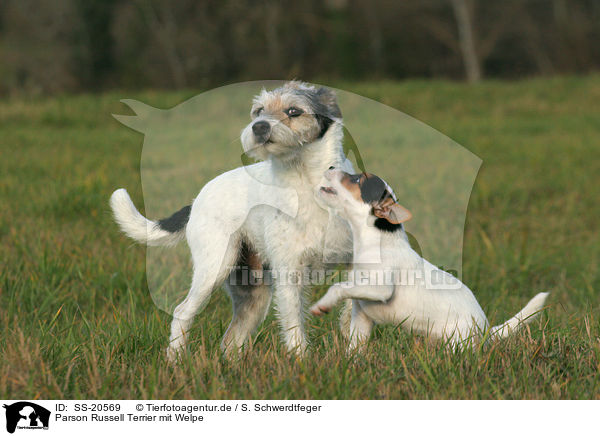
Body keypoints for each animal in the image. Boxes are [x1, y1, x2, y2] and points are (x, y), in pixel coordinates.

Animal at [110, 82, 354, 362]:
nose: (259, 127)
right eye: (258, 110)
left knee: (230, 340)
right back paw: (176, 360)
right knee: (183, 312)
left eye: (294, 110)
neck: (308, 183)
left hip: (253, 294)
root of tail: (196, 200)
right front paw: (301, 363)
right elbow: (294, 327)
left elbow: (352, 309)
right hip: (213, 270)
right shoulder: (289, 273)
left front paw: (355, 351)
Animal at [310, 169, 548, 350]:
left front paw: (322, 305)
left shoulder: (381, 289)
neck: (375, 241)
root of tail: (486, 331)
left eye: (357, 179)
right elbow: (355, 346)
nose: (331, 167)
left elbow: (338, 287)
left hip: (458, 342)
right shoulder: (361, 314)